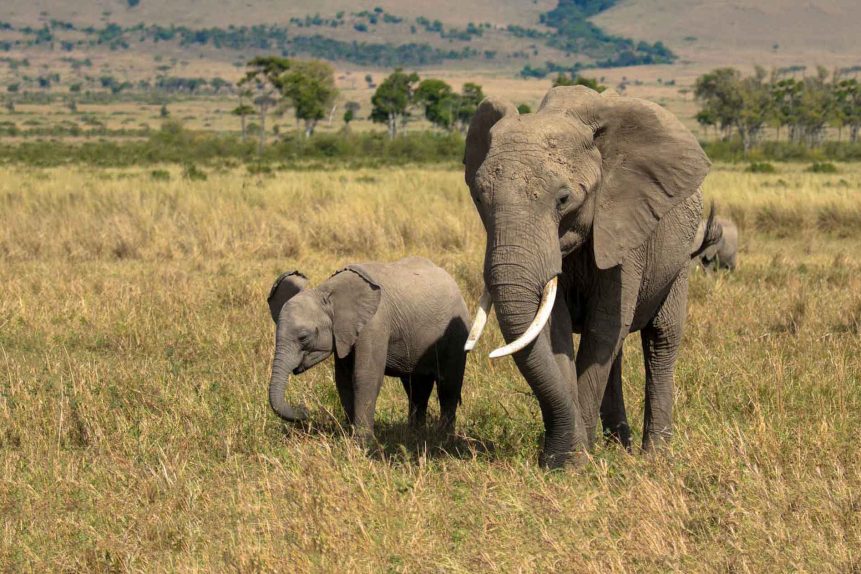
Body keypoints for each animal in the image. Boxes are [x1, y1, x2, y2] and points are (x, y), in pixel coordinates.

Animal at [266, 256, 470, 443]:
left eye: (304, 337)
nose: (304, 410)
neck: (327, 291)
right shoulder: (344, 334)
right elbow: (343, 380)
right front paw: (349, 438)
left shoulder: (375, 323)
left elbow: (365, 376)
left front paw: (363, 444)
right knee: (417, 388)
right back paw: (415, 436)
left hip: (456, 334)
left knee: (448, 385)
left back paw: (443, 438)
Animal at [462, 85, 714, 468]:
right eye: (478, 197)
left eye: (564, 199)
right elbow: (557, 329)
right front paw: (566, 458)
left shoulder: (625, 227)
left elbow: (603, 326)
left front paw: (574, 463)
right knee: (617, 350)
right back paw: (620, 445)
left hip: (679, 255)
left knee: (661, 339)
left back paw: (654, 456)